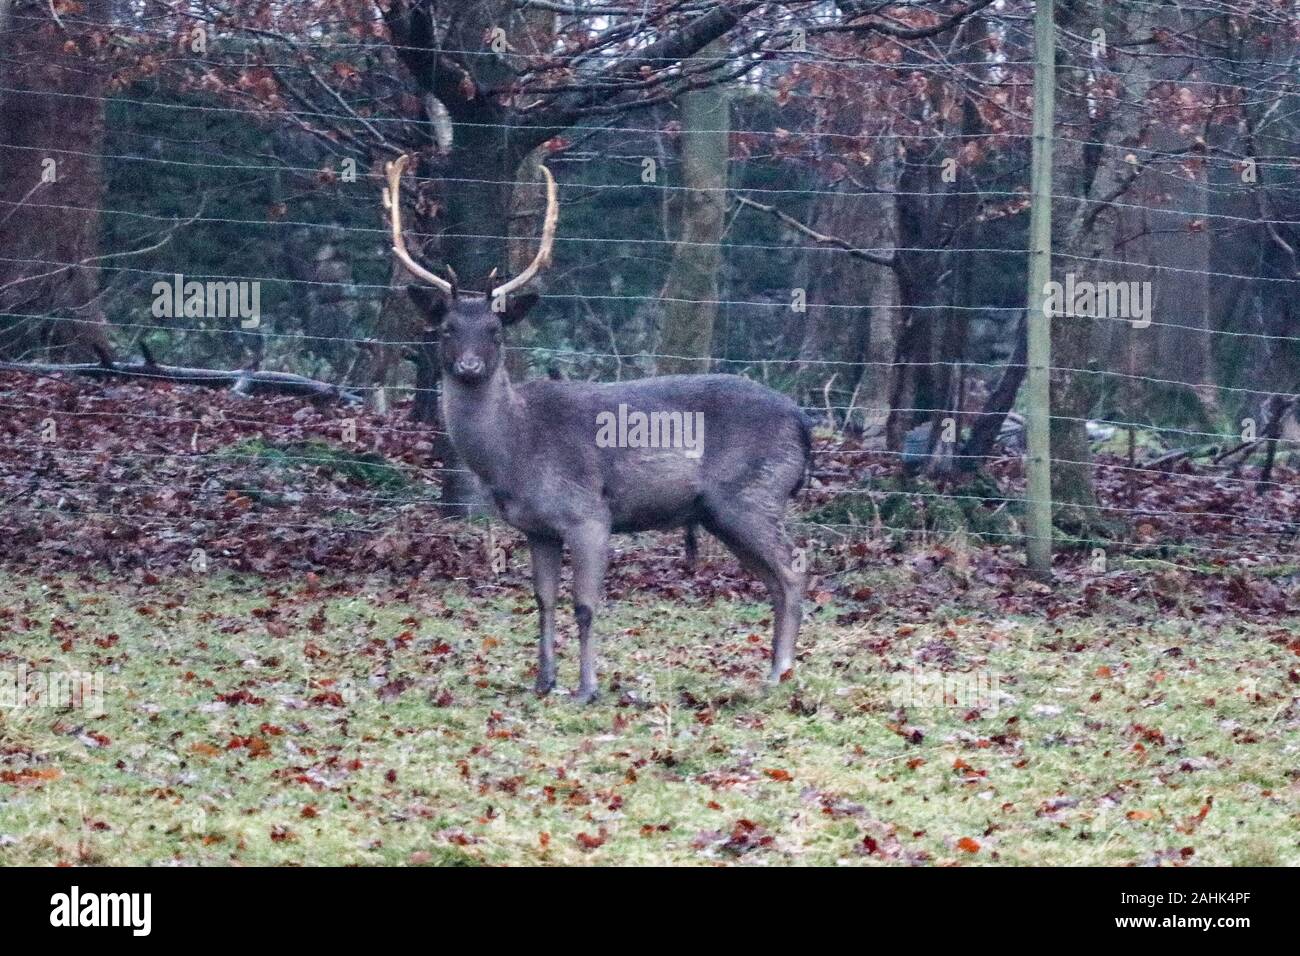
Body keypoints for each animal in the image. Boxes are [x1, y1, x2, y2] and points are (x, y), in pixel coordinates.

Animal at [382, 155, 810, 703]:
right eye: (446, 329)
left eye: (496, 330)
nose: (470, 367)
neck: (514, 452)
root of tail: (803, 421)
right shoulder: (536, 527)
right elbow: (542, 600)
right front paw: (543, 682)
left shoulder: (589, 513)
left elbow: (585, 604)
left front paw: (587, 688)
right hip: (724, 511)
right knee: (774, 577)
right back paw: (771, 671)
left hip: (753, 492)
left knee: (793, 568)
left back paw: (780, 673)